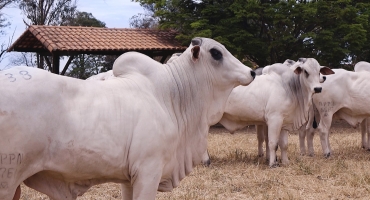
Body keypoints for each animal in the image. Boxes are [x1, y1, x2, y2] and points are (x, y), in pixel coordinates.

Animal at [0, 38, 256, 200]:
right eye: (216, 53)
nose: (252, 72)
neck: (170, 96)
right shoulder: (148, 170)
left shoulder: (128, 178)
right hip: (8, 178)